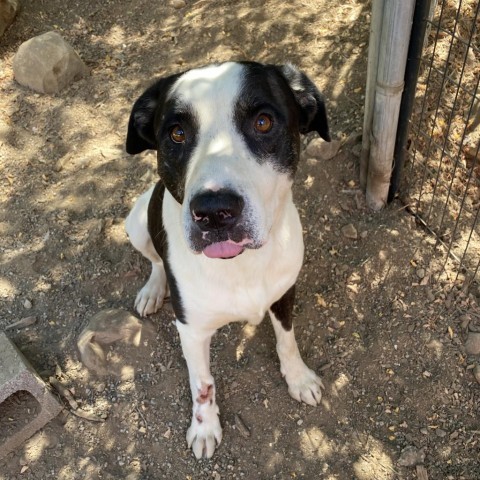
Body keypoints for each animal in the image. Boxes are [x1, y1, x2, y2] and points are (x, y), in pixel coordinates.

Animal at [124, 62, 330, 460]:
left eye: (263, 122)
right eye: (176, 133)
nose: (213, 211)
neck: (241, 265)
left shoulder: (285, 293)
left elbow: (287, 340)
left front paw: (298, 377)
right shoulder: (191, 330)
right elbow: (202, 383)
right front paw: (204, 428)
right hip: (137, 221)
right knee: (155, 260)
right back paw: (153, 290)